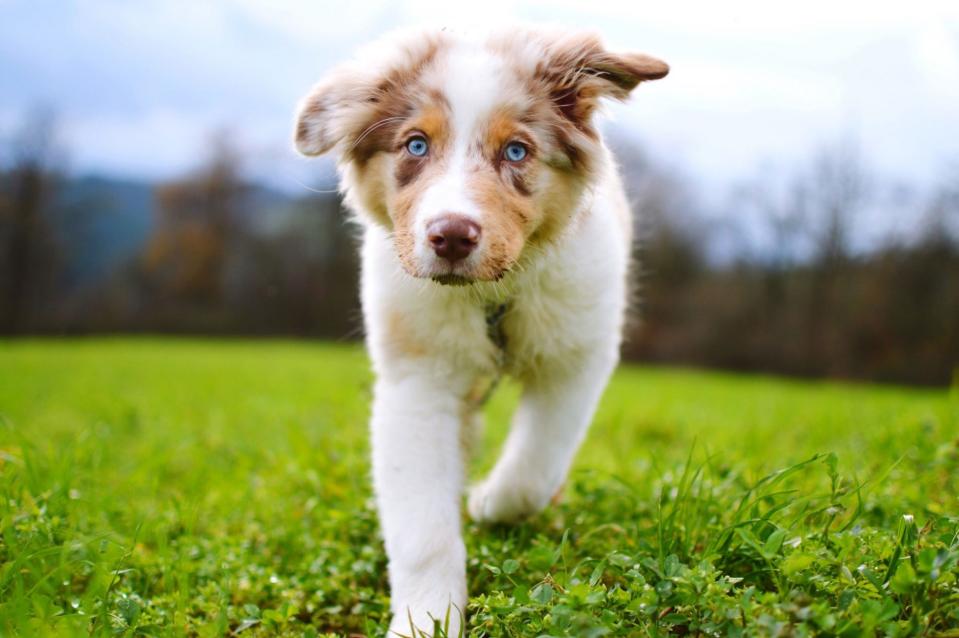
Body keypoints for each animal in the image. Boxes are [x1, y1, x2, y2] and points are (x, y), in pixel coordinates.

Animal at [292, 28, 668, 636]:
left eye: (516, 151)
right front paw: (423, 620)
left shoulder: (575, 361)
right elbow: (420, 526)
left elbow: (535, 465)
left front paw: (489, 502)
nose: (450, 236)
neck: (489, 296)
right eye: (415, 145)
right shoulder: (416, 382)